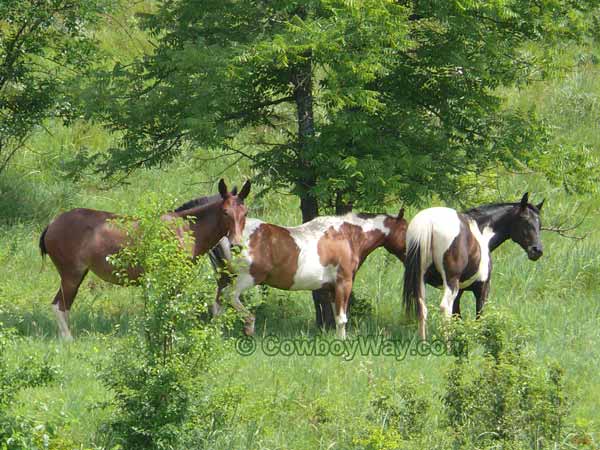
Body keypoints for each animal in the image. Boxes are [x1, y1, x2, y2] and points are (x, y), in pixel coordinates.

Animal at [40, 178, 251, 338]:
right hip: (71, 275)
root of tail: (52, 224)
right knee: (59, 306)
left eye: (245, 213)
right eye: (225, 212)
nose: (237, 244)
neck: (186, 230)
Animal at [210, 210, 408, 338]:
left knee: (218, 305)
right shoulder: (344, 282)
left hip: (224, 278)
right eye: (406, 230)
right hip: (246, 278)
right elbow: (342, 318)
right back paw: (249, 325)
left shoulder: (331, 288)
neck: (346, 236)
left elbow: (336, 316)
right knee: (229, 296)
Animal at [404, 192, 544, 340]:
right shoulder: (482, 289)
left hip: (420, 278)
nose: (537, 250)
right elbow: (479, 318)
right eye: (525, 221)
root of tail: (429, 222)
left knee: (422, 308)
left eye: (539, 225)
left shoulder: (459, 292)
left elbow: (458, 317)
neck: (482, 232)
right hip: (450, 282)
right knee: (444, 308)